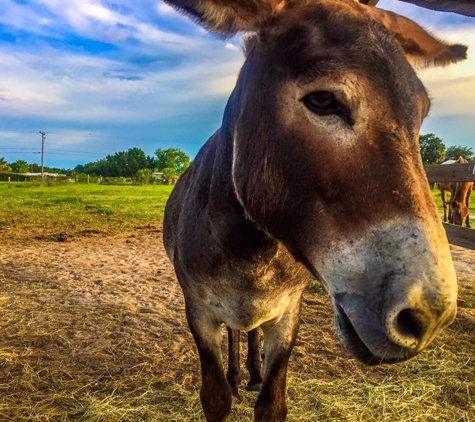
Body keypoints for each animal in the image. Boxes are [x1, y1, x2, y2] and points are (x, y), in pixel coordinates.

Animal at [162, 1, 466, 420]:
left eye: (419, 115)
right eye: (322, 101)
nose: (430, 316)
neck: (252, 252)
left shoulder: (288, 312)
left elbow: (272, 402)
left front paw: (259, 380)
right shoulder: (199, 313)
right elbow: (216, 396)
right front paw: (230, 385)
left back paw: (251, 373)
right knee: (237, 331)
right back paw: (238, 375)